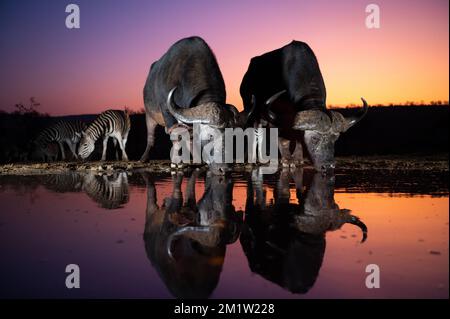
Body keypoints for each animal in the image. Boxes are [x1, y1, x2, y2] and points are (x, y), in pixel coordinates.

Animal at [241, 42, 368, 172]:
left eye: (335, 138)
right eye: (314, 138)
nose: (328, 166)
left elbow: (298, 138)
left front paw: (298, 159)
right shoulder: (279, 116)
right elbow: (283, 138)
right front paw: (287, 160)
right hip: (252, 110)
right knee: (255, 132)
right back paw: (252, 160)